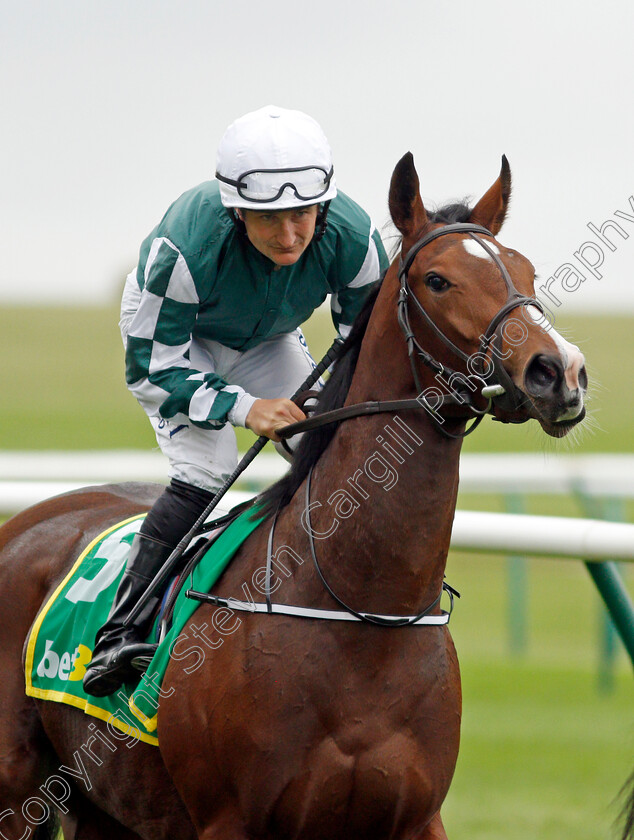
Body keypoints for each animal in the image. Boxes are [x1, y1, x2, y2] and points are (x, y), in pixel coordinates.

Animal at [0, 153, 588, 840]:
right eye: (438, 280)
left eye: (526, 271)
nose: (559, 373)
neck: (364, 615)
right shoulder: (230, 820)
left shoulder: (418, 818)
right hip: (18, 791)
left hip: (106, 806)